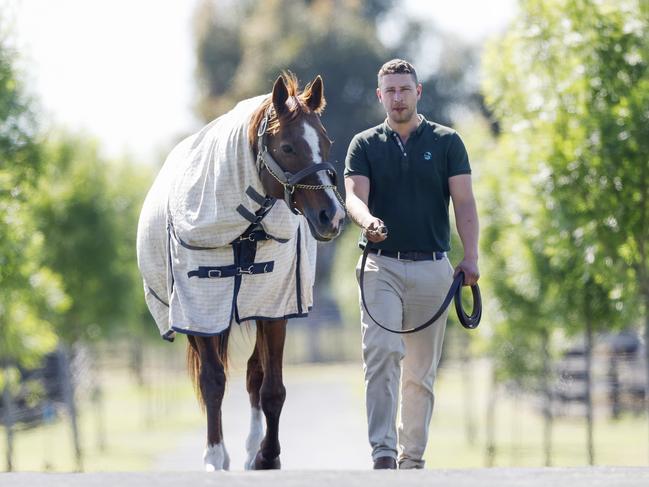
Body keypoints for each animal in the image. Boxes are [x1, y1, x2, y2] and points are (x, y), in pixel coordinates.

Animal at [135, 73, 344, 472]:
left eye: (326, 143)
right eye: (288, 146)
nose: (333, 216)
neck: (245, 228)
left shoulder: (274, 306)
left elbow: (272, 388)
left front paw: (266, 456)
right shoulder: (199, 308)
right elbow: (213, 381)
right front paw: (215, 457)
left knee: (254, 375)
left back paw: (251, 450)